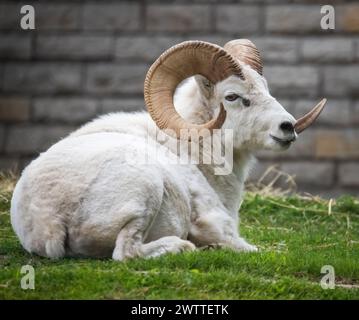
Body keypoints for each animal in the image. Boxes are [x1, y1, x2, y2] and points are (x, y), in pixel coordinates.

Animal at [10, 40, 326, 260]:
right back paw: (181, 246)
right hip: (146, 190)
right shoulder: (216, 221)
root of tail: (52, 218)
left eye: (265, 87)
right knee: (126, 253)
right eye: (232, 97)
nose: (287, 127)